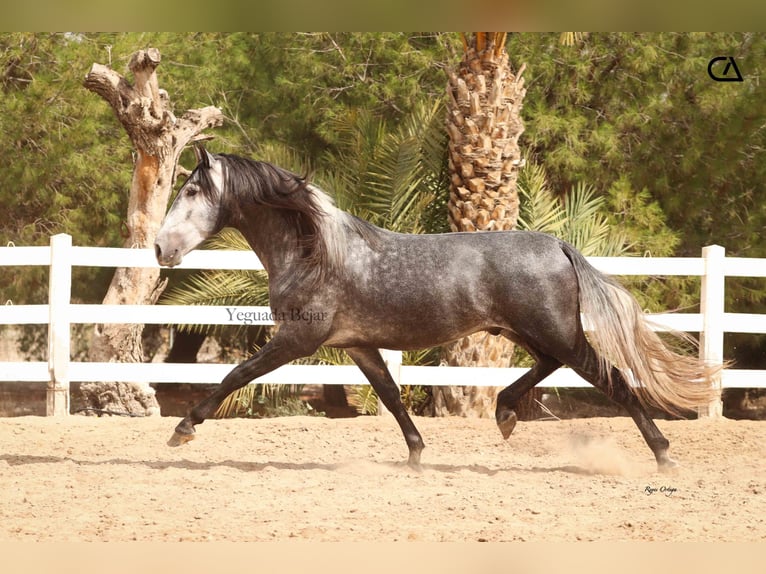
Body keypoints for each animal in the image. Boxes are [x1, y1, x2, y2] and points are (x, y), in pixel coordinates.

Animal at [154, 147, 720, 472]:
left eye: (192, 189)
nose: (160, 249)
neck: (315, 251)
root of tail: (560, 245)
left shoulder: (298, 339)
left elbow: (235, 375)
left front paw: (182, 430)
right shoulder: (358, 346)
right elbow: (389, 394)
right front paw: (416, 453)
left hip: (554, 331)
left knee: (613, 378)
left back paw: (663, 454)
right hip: (527, 331)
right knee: (551, 367)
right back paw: (505, 414)